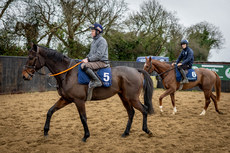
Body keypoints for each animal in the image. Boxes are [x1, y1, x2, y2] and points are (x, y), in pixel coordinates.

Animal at [22, 44, 155, 141]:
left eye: (31, 57)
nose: (24, 76)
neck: (68, 74)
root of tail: (136, 70)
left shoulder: (79, 101)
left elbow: (83, 118)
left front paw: (86, 136)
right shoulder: (66, 99)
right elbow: (50, 111)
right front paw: (45, 131)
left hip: (132, 98)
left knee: (144, 109)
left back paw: (147, 131)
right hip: (124, 97)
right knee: (131, 112)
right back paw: (126, 133)